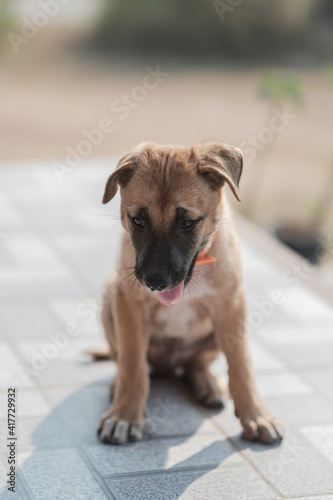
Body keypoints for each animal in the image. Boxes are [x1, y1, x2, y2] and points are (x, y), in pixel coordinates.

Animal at [97, 141, 282, 446]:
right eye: (137, 220)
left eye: (188, 223)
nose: (155, 282)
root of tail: (169, 366)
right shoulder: (129, 304)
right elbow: (133, 364)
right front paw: (124, 414)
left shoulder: (231, 306)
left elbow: (241, 365)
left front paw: (256, 415)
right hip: (110, 299)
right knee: (124, 359)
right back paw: (117, 386)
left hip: (218, 332)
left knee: (197, 363)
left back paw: (208, 384)